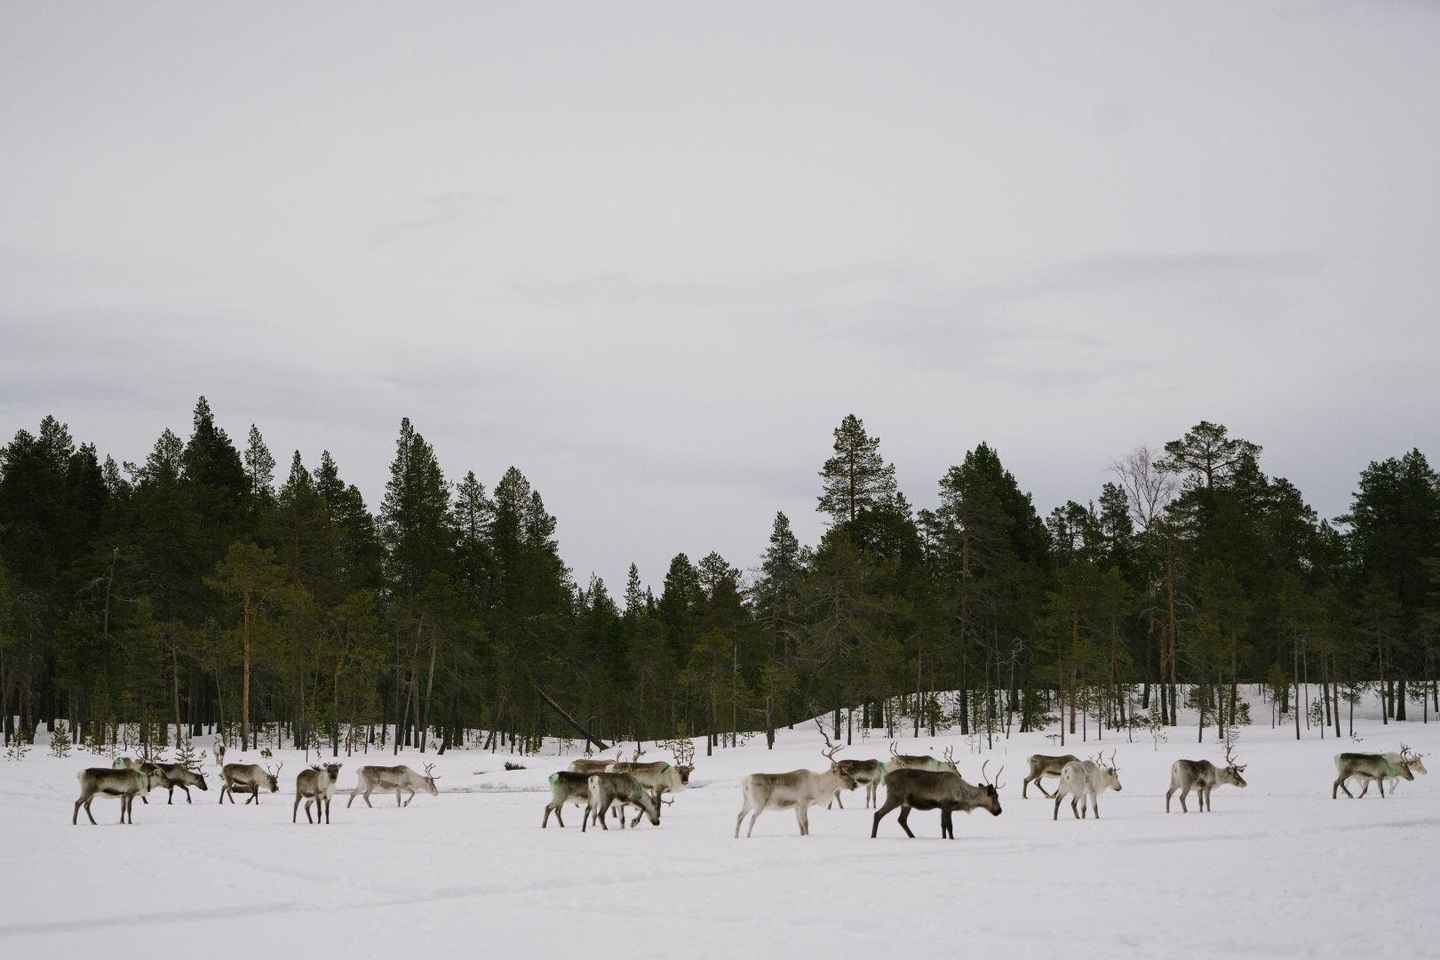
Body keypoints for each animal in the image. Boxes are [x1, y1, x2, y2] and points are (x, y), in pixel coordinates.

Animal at [872, 761, 1004, 838]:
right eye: (995, 796)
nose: (1000, 811)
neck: (962, 794)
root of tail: (886, 778)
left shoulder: (944, 808)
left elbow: (943, 825)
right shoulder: (946, 805)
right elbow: (949, 825)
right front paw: (950, 839)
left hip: (906, 803)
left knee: (901, 820)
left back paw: (913, 836)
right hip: (895, 797)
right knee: (878, 814)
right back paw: (873, 836)